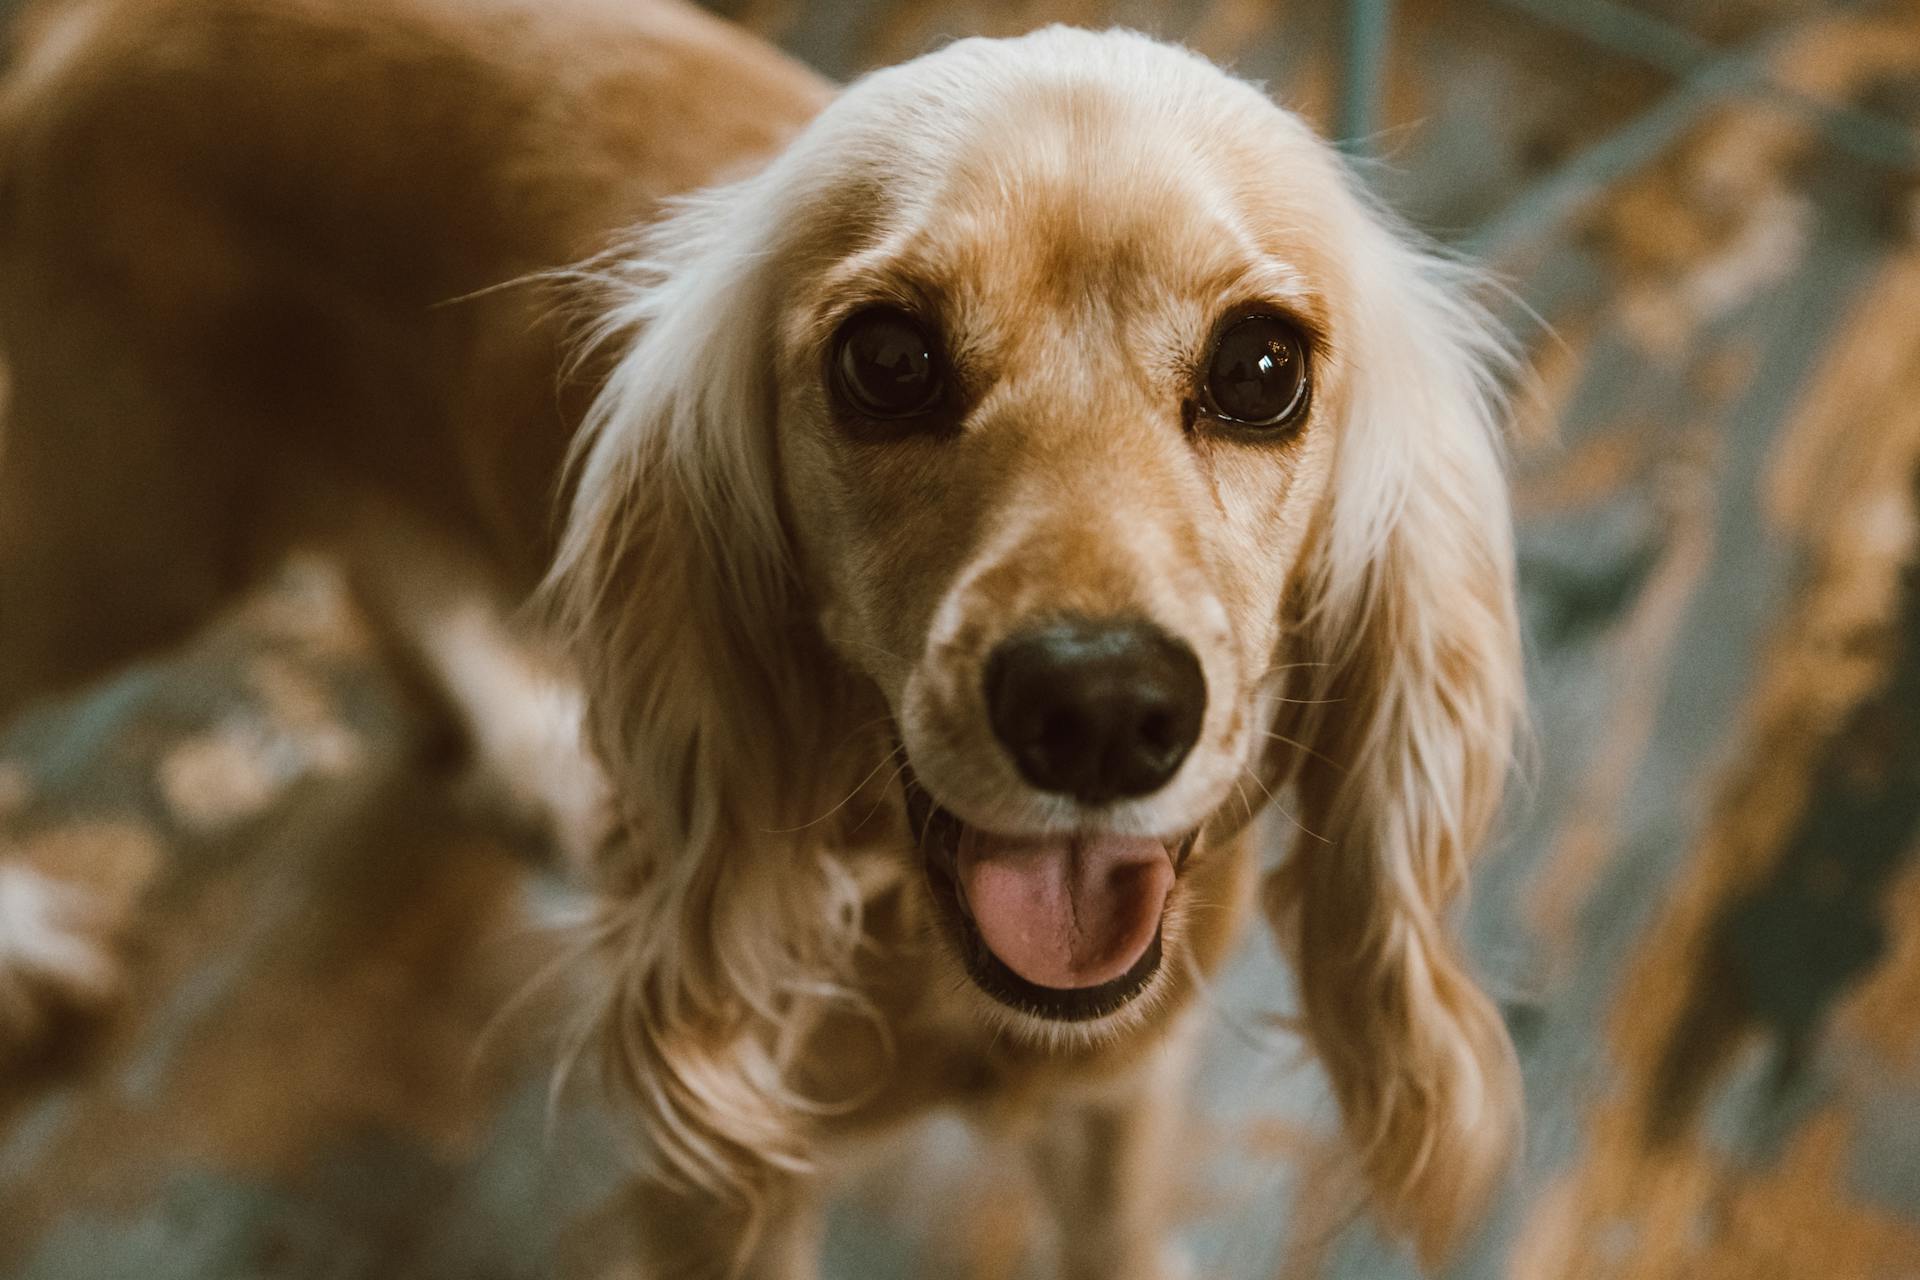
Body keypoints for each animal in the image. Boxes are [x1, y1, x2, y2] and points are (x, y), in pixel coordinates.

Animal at [3, 0, 1528, 1274]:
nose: (1100, 711)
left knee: (383, 566)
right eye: (888, 360)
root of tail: (104, 19)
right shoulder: (726, 1182)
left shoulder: (1122, 1098)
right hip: (128, 543)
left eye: (1261, 368)